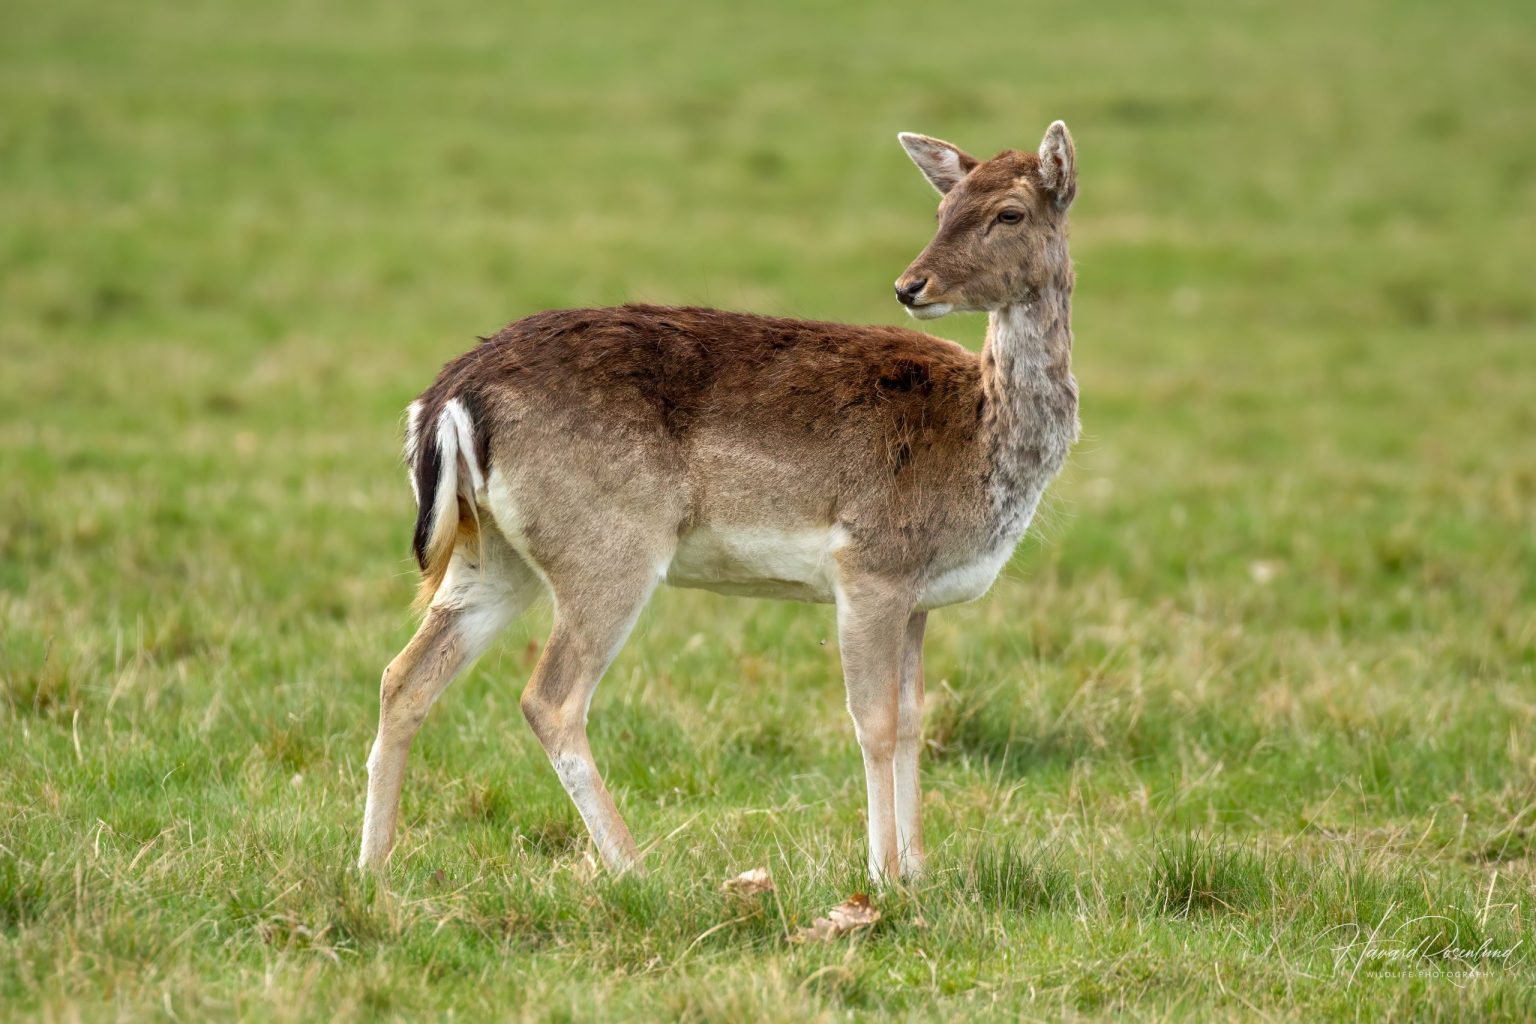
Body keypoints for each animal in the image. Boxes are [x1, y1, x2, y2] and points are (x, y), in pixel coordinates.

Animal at [358, 120, 1081, 882]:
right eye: (944, 209)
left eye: (1008, 212)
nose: (911, 285)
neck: (980, 444)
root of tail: (447, 397)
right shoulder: (872, 565)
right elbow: (874, 722)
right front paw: (883, 875)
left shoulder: (919, 596)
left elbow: (914, 718)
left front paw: (916, 873)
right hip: (605, 547)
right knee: (549, 697)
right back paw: (635, 871)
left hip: (493, 553)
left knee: (403, 677)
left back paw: (373, 869)